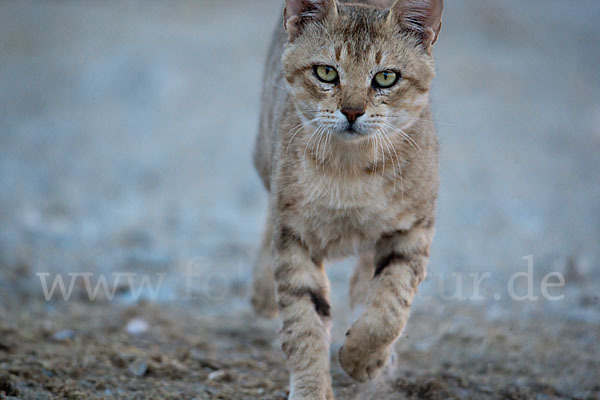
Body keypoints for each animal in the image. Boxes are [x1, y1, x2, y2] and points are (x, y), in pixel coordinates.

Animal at [251, 1, 442, 398]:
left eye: (385, 78)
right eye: (326, 72)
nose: (352, 111)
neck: (351, 169)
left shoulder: (414, 229)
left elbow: (390, 306)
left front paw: (362, 359)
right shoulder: (295, 234)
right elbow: (304, 321)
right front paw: (311, 389)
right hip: (264, 155)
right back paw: (261, 292)